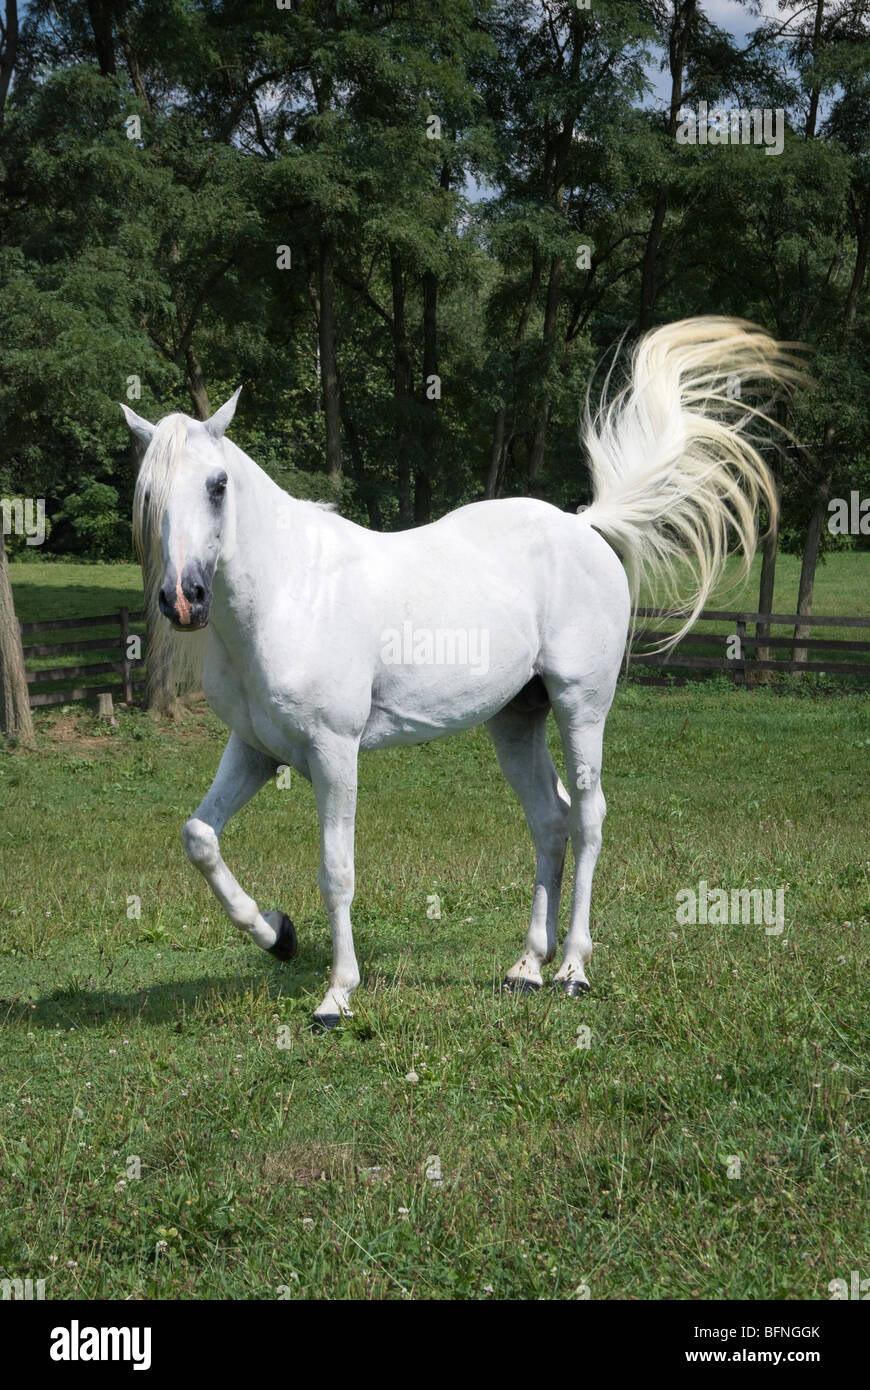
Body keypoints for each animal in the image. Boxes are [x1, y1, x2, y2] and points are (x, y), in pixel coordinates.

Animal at [123, 317, 801, 1029]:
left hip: (581, 708)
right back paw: (526, 967)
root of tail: (584, 526)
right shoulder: (256, 750)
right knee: (550, 820)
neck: (292, 593)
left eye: (218, 484)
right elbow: (200, 837)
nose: (184, 598)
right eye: (148, 494)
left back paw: (573, 970)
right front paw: (278, 935)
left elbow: (337, 871)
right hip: (516, 722)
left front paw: (337, 994)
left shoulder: (334, 753)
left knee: (588, 818)